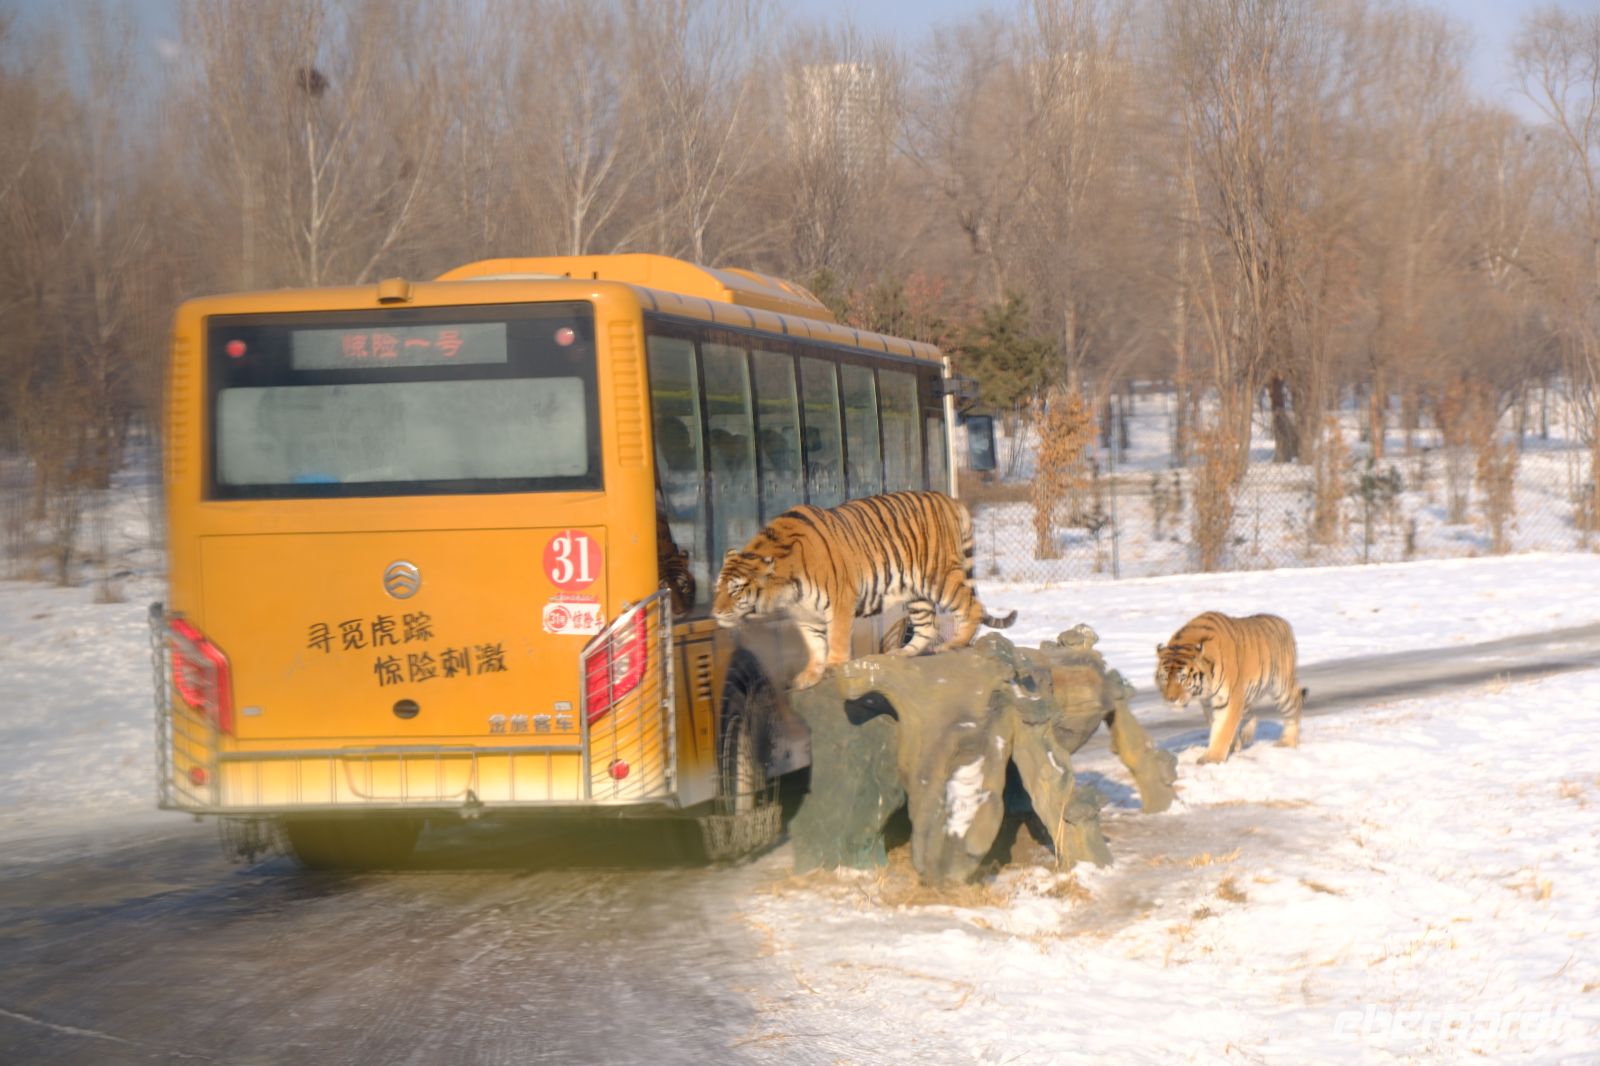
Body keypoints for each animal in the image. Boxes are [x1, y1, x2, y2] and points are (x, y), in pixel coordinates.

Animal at [712, 490, 1018, 690]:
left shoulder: (839, 601)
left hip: (939, 578)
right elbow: (814, 645)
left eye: (736, 590)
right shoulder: (804, 614)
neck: (785, 590)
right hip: (916, 593)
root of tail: (951, 500)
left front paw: (833, 667)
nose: (715, 613)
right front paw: (810, 675)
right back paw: (903, 653)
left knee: (972, 606)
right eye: (717, 589)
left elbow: (835, 639)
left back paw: (955, 643)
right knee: (927, 626)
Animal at [1154, 611, 1305, 764]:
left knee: (1294, 703)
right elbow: (1218, 726)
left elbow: (1223, 730)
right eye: (1165, 678)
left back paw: (1287, 742)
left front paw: (1212, 759)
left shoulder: (1228, 699)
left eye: (1183, 678)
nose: (1171, 700)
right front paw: (1232, 746)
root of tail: (1283, 621)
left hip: (1282, 685)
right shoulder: (1209, 704)